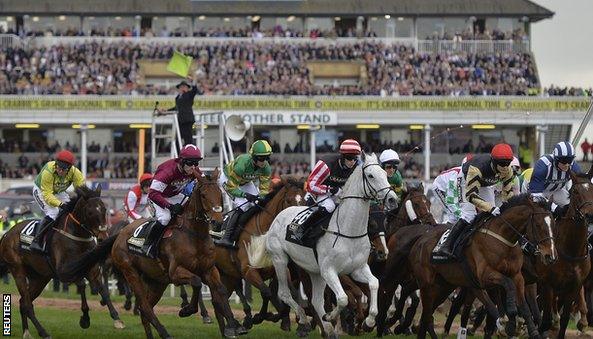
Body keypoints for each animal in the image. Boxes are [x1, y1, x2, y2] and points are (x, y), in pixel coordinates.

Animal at [0, 187, 123, 338]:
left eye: (104, 209)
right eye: (90, 212)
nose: (103, 236)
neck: (77, 236)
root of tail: (7, 234)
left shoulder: (91, 269)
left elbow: (103, 290)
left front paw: (116, 318)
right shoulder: (64, 271)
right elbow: (82, 284)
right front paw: (85, 318)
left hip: (40, 277)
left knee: (23, 302)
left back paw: (27, 333)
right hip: (18, 271)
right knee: (27, 304)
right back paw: (43, 332)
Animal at [214, 177, 306, 330]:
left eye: (304, 200)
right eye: (288, 201)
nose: (297, 227)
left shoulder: (279, 269)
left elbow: (289, 293)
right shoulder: (249, 271)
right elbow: (267, 293)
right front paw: (260, 317)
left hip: (229, 274)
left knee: (229, 293)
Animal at [247, 153, 396, 338]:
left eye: (384, 173)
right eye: (371, 176)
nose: (392, 199)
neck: (348, 231)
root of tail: (276, 219)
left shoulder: (357, 268)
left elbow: (374, 284)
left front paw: (368, 322)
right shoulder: (329, 270)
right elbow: (343, 299)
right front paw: (331, 316)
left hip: (314, 272)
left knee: (316, 300)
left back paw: (328, 329)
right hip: (281, 260)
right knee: (284, 293)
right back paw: (303, 320)